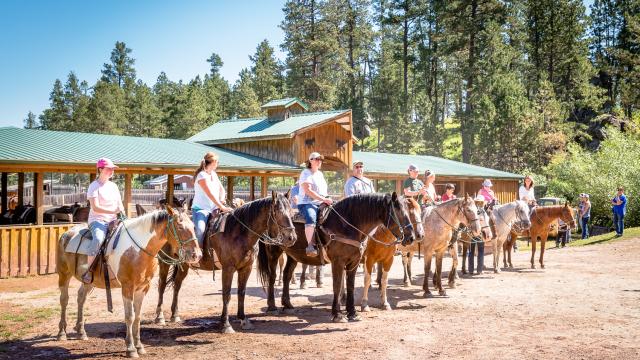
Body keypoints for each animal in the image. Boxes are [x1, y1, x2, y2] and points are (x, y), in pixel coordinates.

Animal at [55, 205, 200, 358]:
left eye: (193, 226)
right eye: (180, 226)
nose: (196, 255)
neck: (137, 250)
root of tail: (66, 234)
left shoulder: (143, 288)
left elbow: (138, 317)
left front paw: (139, 346)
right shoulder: (127, 287)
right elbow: (129, 316)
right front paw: (130, 348)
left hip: (89, 281)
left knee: (81, 297)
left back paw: (81, 332)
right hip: (64, 275)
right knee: (64, 300)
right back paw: (62, 333)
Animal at [155, 191, 298, 332]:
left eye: (291, 212)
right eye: (278, 212)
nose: (292, 238)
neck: (238, 233)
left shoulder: (246, 268)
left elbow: (241, 292)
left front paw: (243, 319)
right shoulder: (228, 269)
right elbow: (227, 294)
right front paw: (225, 324)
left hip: (184, 264)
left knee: (177, 284)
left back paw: (175, 315)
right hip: (165, 262)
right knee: (162, 285)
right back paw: (159, 317)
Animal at [258, 193, 418, 322]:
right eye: (400, 213)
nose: (411, 237)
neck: (346, 225)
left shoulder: (354, 263)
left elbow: (351, 285)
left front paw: (352, 313)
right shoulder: (338, 262)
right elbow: (337, 285)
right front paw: (337, 314)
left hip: (293, 256)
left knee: (286, 275)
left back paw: (288, 305)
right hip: (274, 251)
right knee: (272, 276)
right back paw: (272, 306)